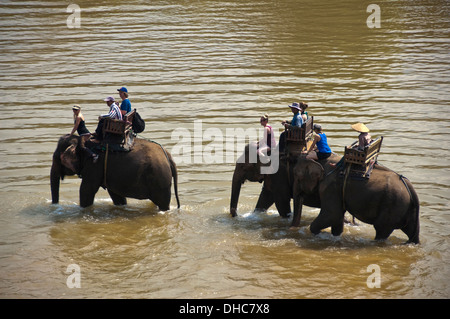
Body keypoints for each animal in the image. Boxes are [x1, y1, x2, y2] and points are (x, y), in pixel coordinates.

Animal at [50, 134, 180, 211]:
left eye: (56, 158)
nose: (55, 206)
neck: (81, 142)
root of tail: (168, 156)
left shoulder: (94, 165)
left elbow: (86, 190)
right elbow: (116, 195)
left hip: (160, 179)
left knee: (163, 202)